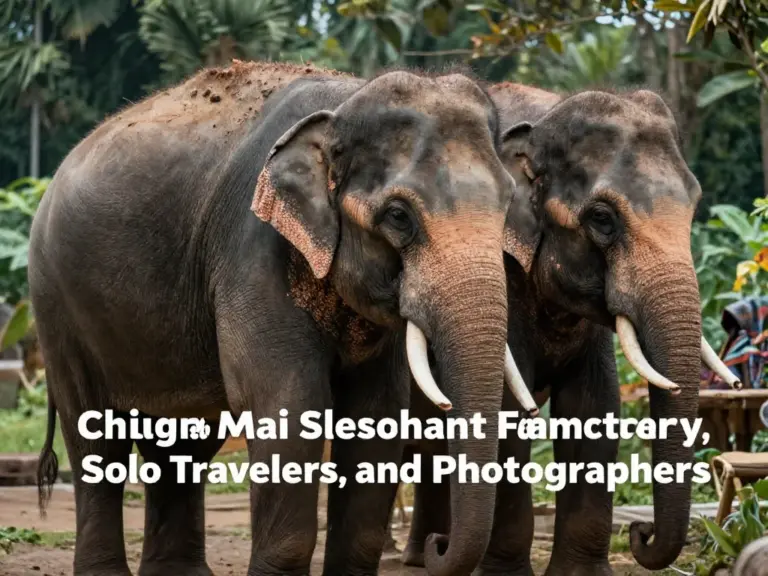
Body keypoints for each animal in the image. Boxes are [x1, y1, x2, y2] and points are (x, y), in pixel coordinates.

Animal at [29, 61, 532, 576]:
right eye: (398, 215)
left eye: (507, 204)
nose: (436, 544)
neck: (345, 101)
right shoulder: (251, 249)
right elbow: (288, 403)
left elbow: (377, 413)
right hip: (55, 304)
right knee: (95, 436)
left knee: (180, 443)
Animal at [400, 82, 739, 574]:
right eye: (602, 218)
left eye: (694, 208)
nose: (641, 532)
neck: (544, 116)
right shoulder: (502, 273)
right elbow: (509, 411)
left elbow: (595, 405)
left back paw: (424, 553)